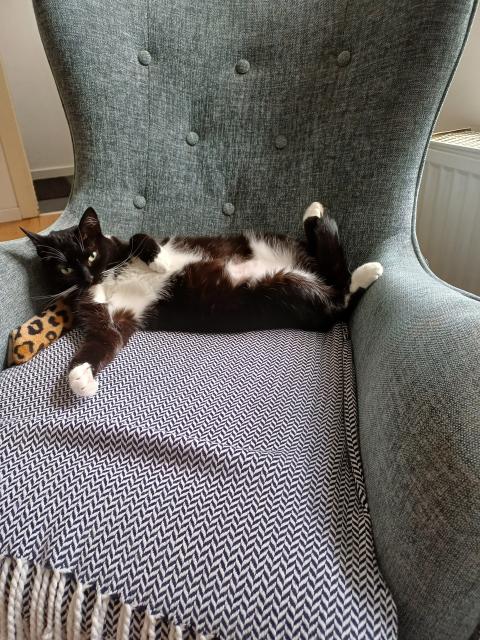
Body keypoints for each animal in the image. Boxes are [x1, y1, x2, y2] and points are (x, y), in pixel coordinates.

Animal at [22, 202, 384, 398]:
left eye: (92, 254)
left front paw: (159, 262)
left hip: (282, 260)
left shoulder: (124, 245)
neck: (107, 279)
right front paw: (80, 379)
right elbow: (102, 341)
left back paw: (324, 224)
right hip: (288, 287)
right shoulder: (113, 316)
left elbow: (141, 237)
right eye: (66, 268)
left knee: (339, 289)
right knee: (336, 292)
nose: (87, 277)